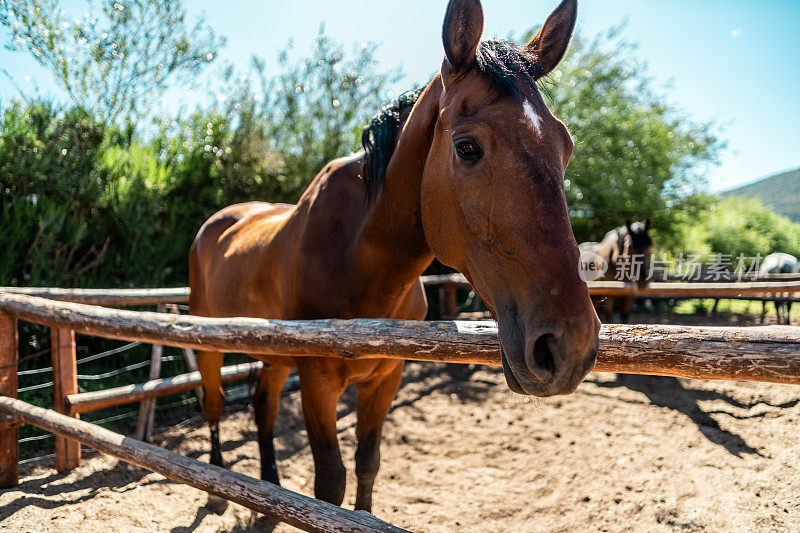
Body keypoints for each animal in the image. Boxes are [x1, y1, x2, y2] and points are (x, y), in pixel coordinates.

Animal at [191, 1, 596, 516]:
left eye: (566, 147)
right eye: (467, 147)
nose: (570, 347)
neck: (357, 260)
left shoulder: (385, 379)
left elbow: (368, 463)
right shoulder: (318, 383)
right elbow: (330, 485)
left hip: (276, 356)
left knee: (263, 408)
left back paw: (268, 487)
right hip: (208, 345)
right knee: (214, 403)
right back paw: (217, 484)